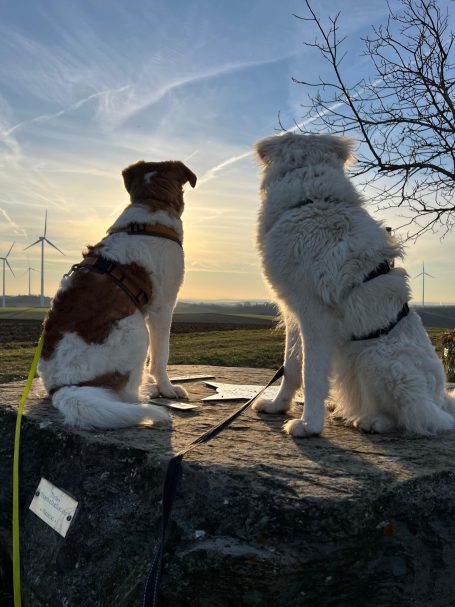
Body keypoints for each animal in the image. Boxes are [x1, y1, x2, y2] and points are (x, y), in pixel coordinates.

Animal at [37, 159, 198, 430]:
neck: (151, 204)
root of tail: (63, 387)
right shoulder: (162, 307)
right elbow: (161, 356)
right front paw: (167, 389)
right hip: (136, 329)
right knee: (126, 395)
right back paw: (146, 395)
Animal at [253, 133, 455, 436]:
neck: (310, 200)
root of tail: (441, 400)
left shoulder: (315, 316)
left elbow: (311, 373)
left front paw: (309, 425)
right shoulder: (293, 311)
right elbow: (291, 367)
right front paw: (278, 405)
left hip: (375, 356)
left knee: (418, 417)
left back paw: (373, 421)